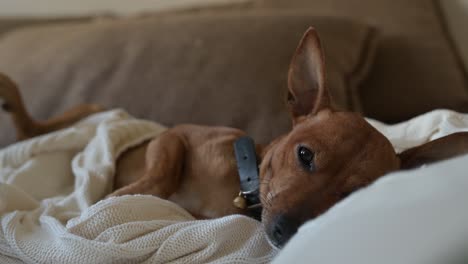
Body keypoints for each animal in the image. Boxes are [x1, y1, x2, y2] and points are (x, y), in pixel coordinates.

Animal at [0, 27, 468, 249]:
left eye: (354, 195)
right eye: (304, 154)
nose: (286, 232)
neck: (241, 185)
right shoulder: (175, 136)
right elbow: (159, 175)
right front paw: (108, 200)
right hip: (90, 110)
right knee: (32, 127)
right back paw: (10, 93)